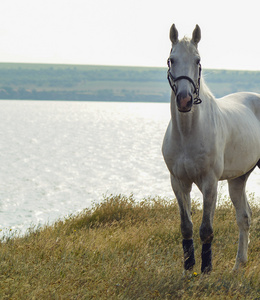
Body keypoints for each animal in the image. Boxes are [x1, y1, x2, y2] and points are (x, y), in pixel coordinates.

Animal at [162, 23, 260, 274]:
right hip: (238, 178)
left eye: (197, 59)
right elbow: (186, 226)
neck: (188, 132)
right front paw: (188, 269)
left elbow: (206, 229)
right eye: (171, 60)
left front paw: (206, 270)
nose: (184, 100)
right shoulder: (178, 182)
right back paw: (238, 265)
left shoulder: (210, 182)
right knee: (244, 217)